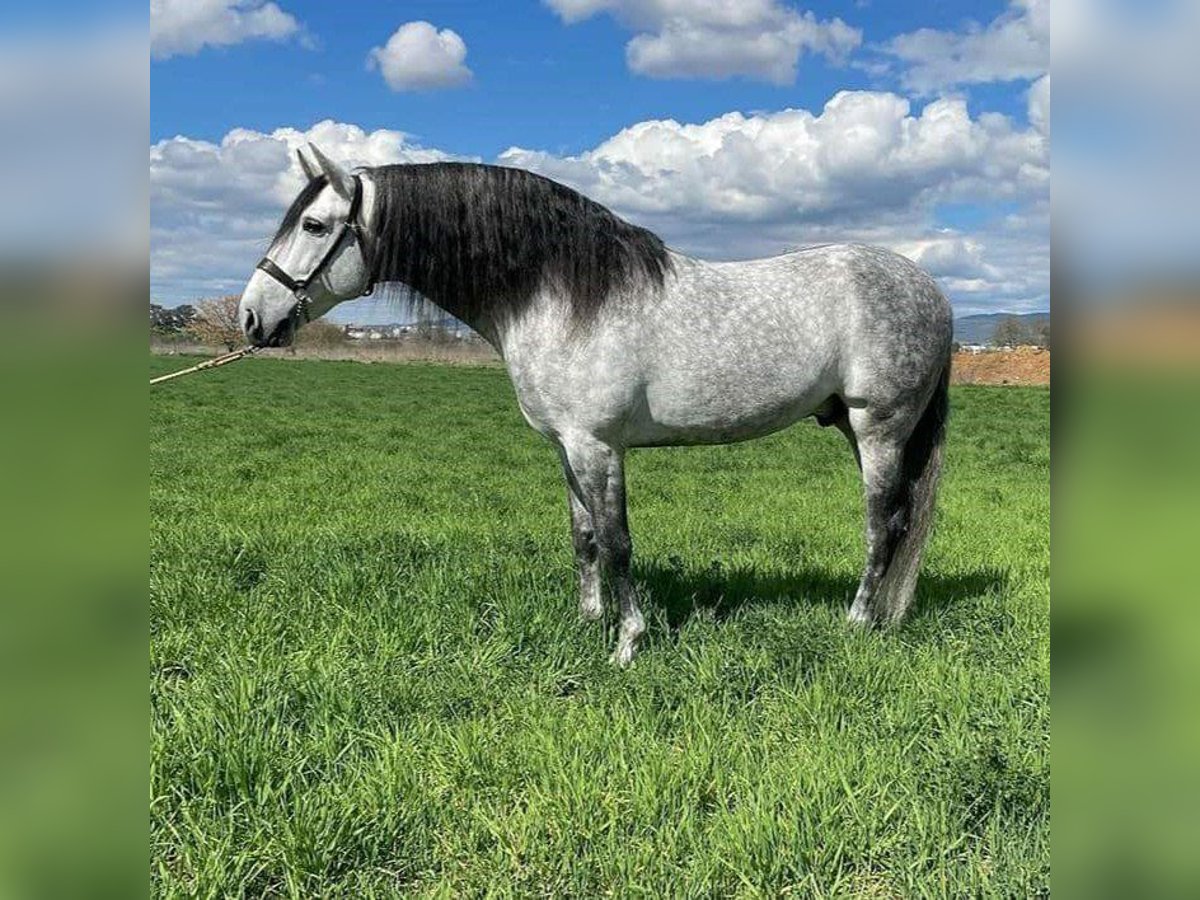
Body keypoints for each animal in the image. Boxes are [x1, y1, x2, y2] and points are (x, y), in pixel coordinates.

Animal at [238, 144, 950, 667]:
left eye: (313, 225)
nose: (250, 318)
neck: (558, 294)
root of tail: (930, 290)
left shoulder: (597, 446)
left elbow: (616, 542)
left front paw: (628, 644)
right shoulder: (566, 447)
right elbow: (583, 538)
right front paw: (589, 621)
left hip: (879, 429)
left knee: (884, 525)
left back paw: (857, 621)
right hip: (854, 427)